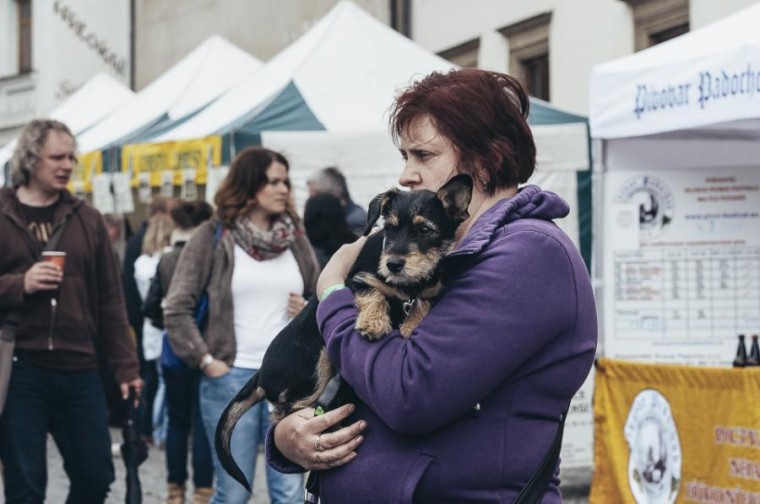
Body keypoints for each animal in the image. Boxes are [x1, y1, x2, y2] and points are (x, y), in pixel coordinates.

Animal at [215, 173, 476, 488]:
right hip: (319, 359)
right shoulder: (357, 279)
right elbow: (373, 292)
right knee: (289, 410)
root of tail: (260, 376)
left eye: (425, 230)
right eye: (390, 228)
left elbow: (422, 303)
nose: (393, 264)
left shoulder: (427, 291)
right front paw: (373, 323)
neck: (408, 286)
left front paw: (411, 326)